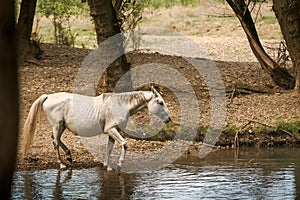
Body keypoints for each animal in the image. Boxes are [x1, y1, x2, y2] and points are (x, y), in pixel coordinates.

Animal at [21, 86, 171, 170]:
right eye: (160, 102)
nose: (169, 119)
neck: (120, 105)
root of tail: (48, 97)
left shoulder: (112, 132)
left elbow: (109, 148)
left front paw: (107, 166)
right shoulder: (111, 129)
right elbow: (124, 144)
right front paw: (119, 165)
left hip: (61, 126)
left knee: (55, 139)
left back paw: (69, 156)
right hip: (57, 125)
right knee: (55, 143)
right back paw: (62, 164)